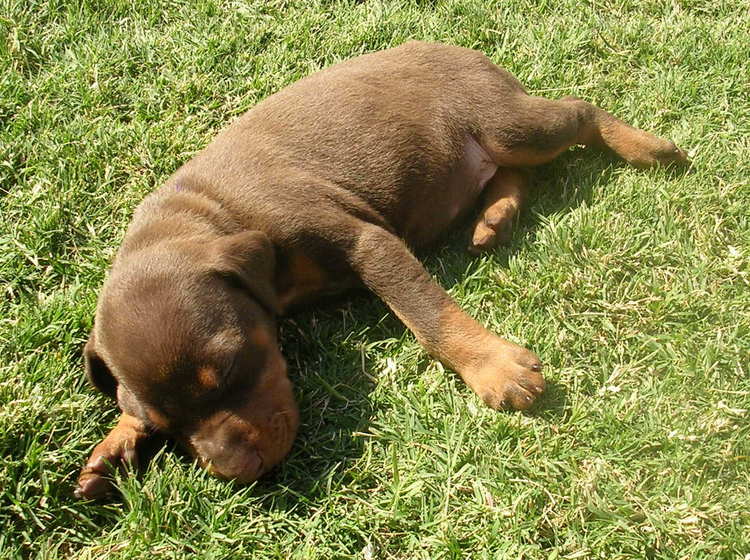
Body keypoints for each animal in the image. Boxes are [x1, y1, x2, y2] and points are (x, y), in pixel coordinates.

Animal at [73, 41, 692, 500]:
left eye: (230, 367)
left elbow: (427, 314)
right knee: (512, 172)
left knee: (577, 112)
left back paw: (648, 147)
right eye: (163, 425)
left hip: (506, 124)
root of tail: (466, 51)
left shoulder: (367, 243)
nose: (239, 473)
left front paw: (494, 368)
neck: (213, 214)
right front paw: (112, 446)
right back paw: (494, 218)